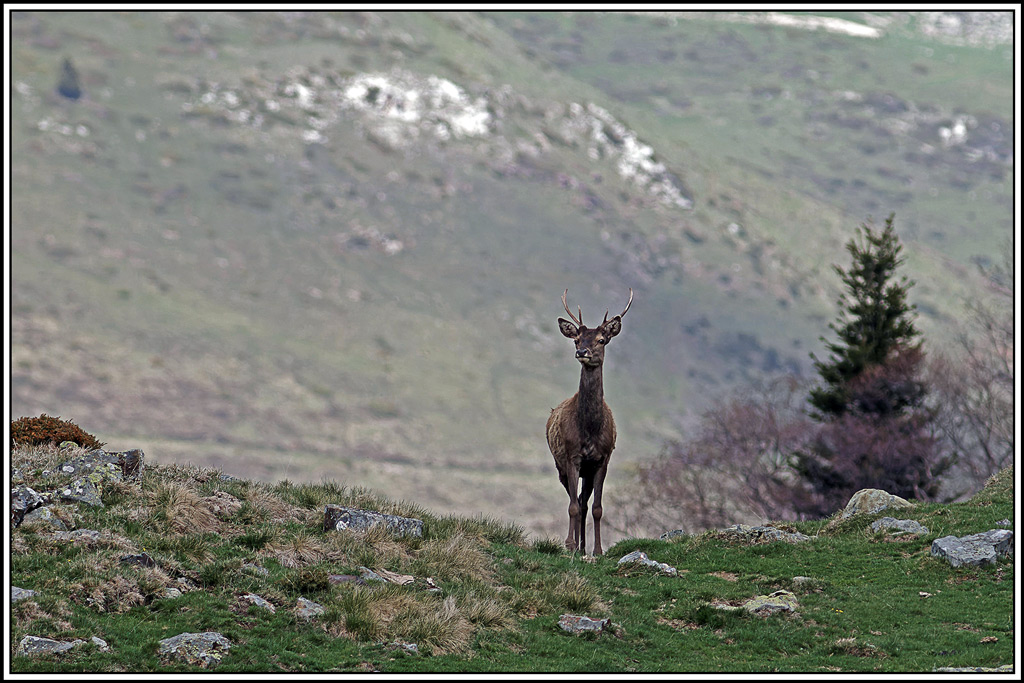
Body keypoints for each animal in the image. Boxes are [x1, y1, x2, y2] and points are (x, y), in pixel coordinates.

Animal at [546, 288, 632, 555]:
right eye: (576, 339)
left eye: (602, 340)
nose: (582, 352)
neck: (590, 430)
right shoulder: (571, 456)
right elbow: (572, 506)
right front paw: (570, 545)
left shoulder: (602, 460)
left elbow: (597, 508)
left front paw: (598, 550)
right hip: (561, 466)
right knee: (575, 501)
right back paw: (576, 547)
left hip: (587, 471)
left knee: (584, 502)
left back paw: (584, 548)